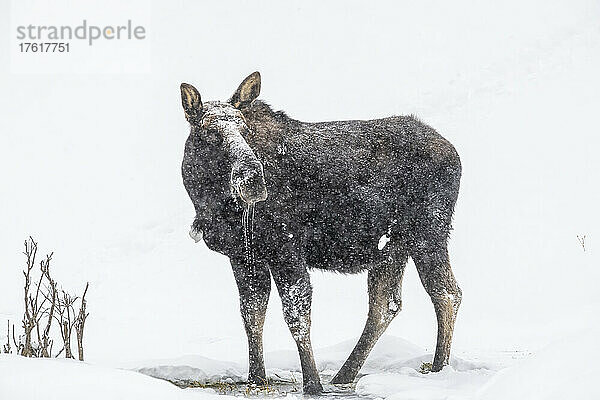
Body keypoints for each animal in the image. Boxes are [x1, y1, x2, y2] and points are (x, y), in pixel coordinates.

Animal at [180, 72, 462, 394]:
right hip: (392, 248)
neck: (210, 201)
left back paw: (439, 369)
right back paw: (345, 375)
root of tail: (453, 151)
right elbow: (251, 313)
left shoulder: (286, 249)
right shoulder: (243, 256)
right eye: (208, 132)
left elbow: (297, 315)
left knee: (446, 293)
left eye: (244, 129)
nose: (254, 181)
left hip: (429, 232)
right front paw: (256, 377)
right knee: (385, 306)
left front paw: (312, 384)